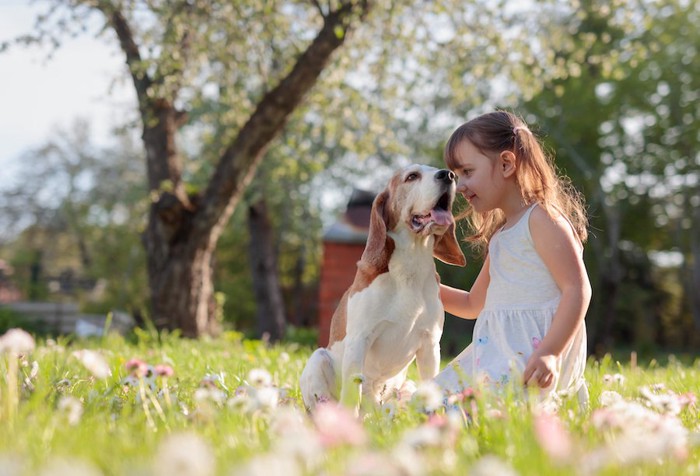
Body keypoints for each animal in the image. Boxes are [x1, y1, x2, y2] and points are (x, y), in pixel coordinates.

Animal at [300, 164, 464, 412]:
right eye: (412, 176)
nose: (449, 175)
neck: (410, 269)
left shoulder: (430, 345)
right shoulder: (360, 339)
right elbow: (352, 392)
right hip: (318, 358)